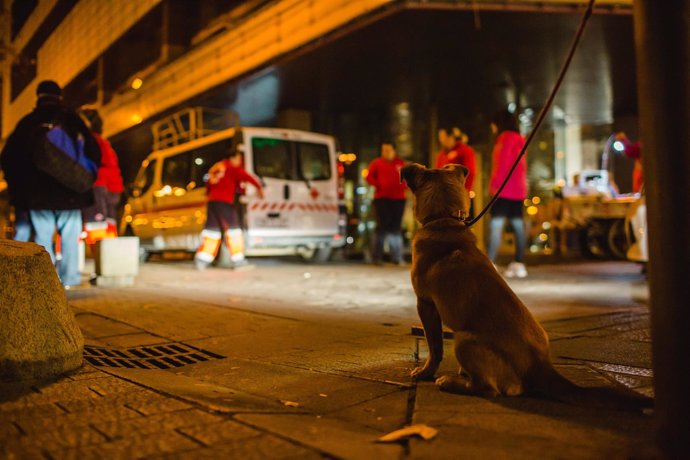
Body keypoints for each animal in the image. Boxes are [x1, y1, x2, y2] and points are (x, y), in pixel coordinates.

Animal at [398, 164, 652, 412]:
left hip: (464, 340)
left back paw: (452, 382)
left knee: (487, 389)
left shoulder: (426, 305)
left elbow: (435, 347)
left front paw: (425, 373)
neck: (444, 221)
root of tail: (539, 367)